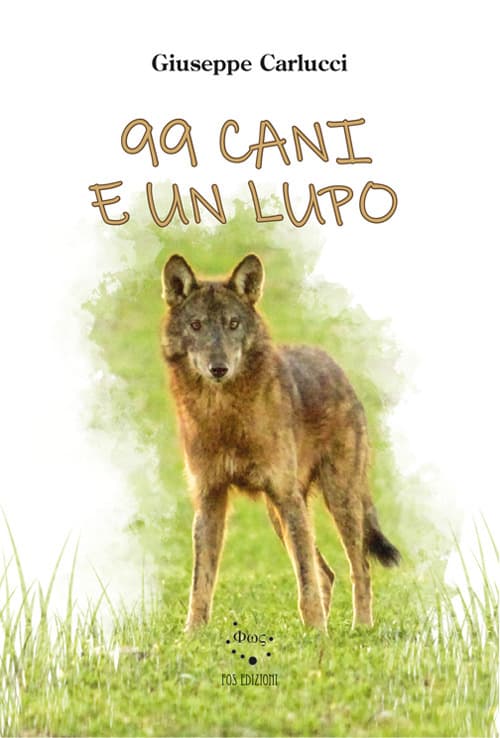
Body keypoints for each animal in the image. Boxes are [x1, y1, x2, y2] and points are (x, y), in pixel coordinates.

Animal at [161, 253, 400, 632]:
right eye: (196, 325)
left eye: (233, 324)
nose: (218, 368)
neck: (225, 417)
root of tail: (335, 366)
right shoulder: (210, 500)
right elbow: (200, 585)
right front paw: (191, 636)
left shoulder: (285, 498)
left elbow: (305, 582)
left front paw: (319, 634)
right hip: (281, 515)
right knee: (327, 573)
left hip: (336, 501)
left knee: (357, 568)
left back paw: (358, 628)